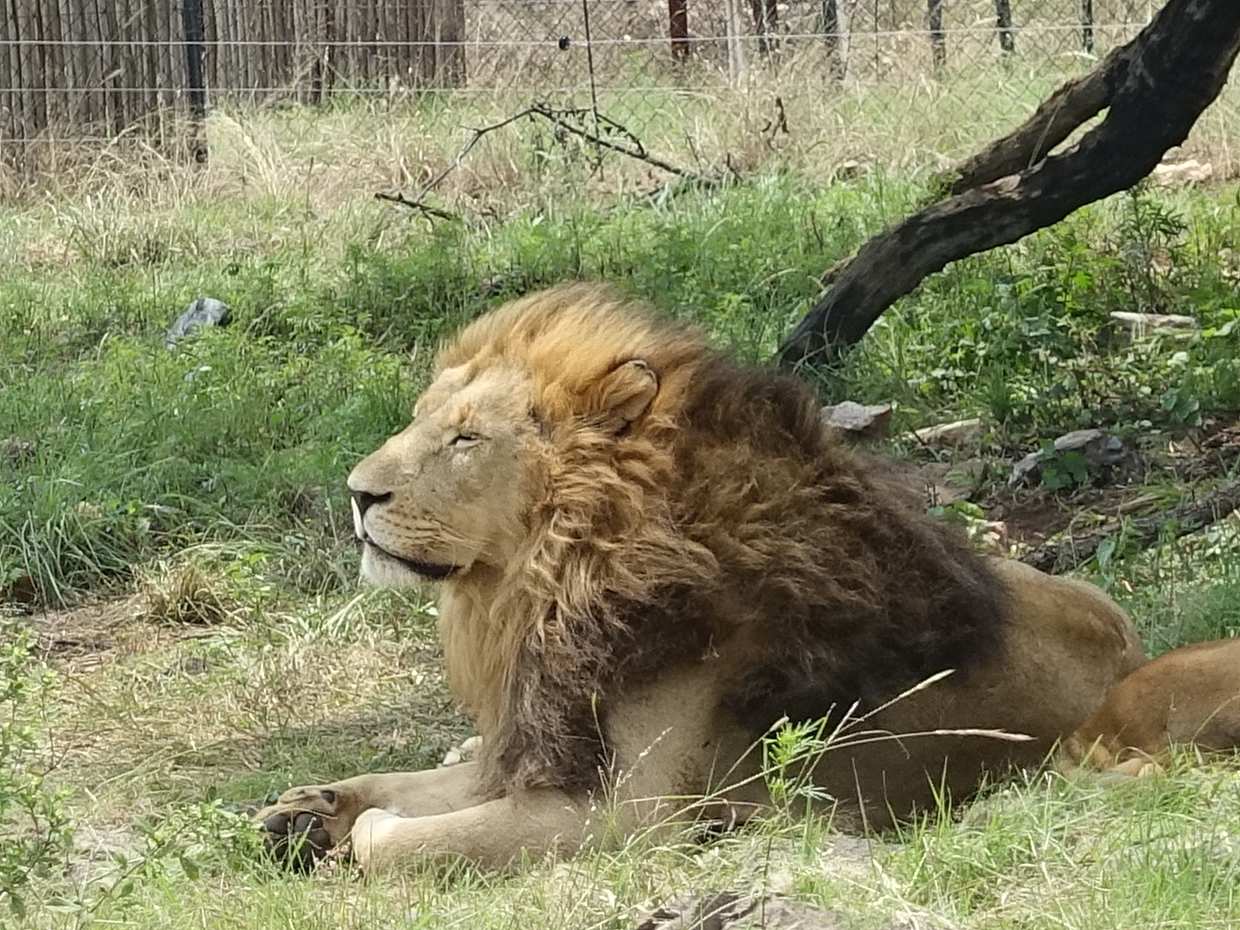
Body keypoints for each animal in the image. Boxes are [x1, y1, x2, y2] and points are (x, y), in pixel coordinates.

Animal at [256, 283, 1146, 874]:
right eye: (421, 419)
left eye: (466, 439)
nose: (357, 492)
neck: (542, 588)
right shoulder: (541, 745)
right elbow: (416, 782)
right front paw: (305, 811)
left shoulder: (630, 819)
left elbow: (410, 837)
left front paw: (350, 833)